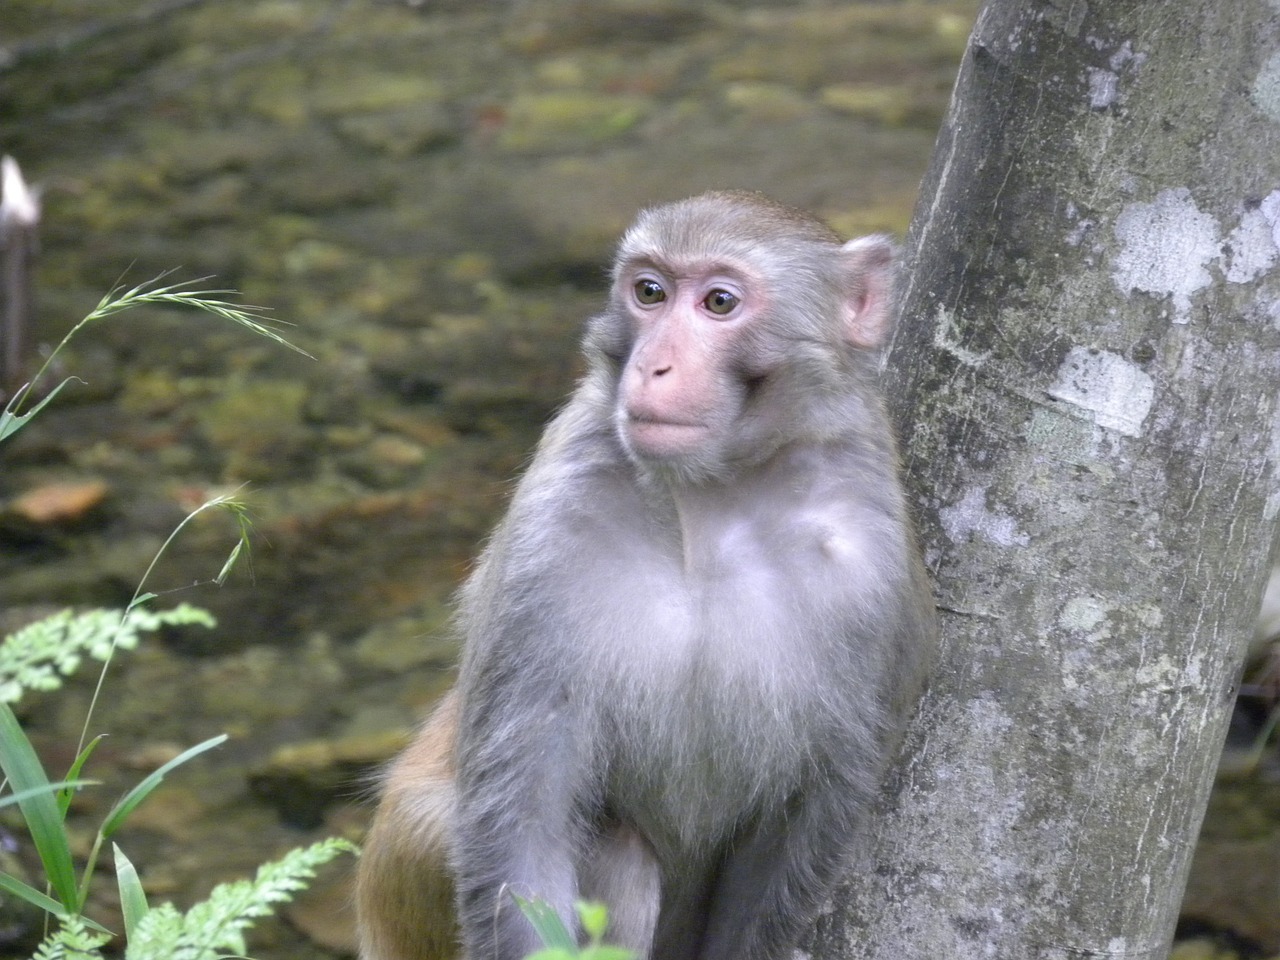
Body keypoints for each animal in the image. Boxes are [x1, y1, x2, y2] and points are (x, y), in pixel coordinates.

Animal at [355, 189, 936, 960]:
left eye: (719, 302)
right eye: (650, 292)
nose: (653, 365)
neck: (711, 504)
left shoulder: (876, 572)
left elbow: (803, 823)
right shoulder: (550, 527)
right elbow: (524, 815)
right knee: (616, 853)